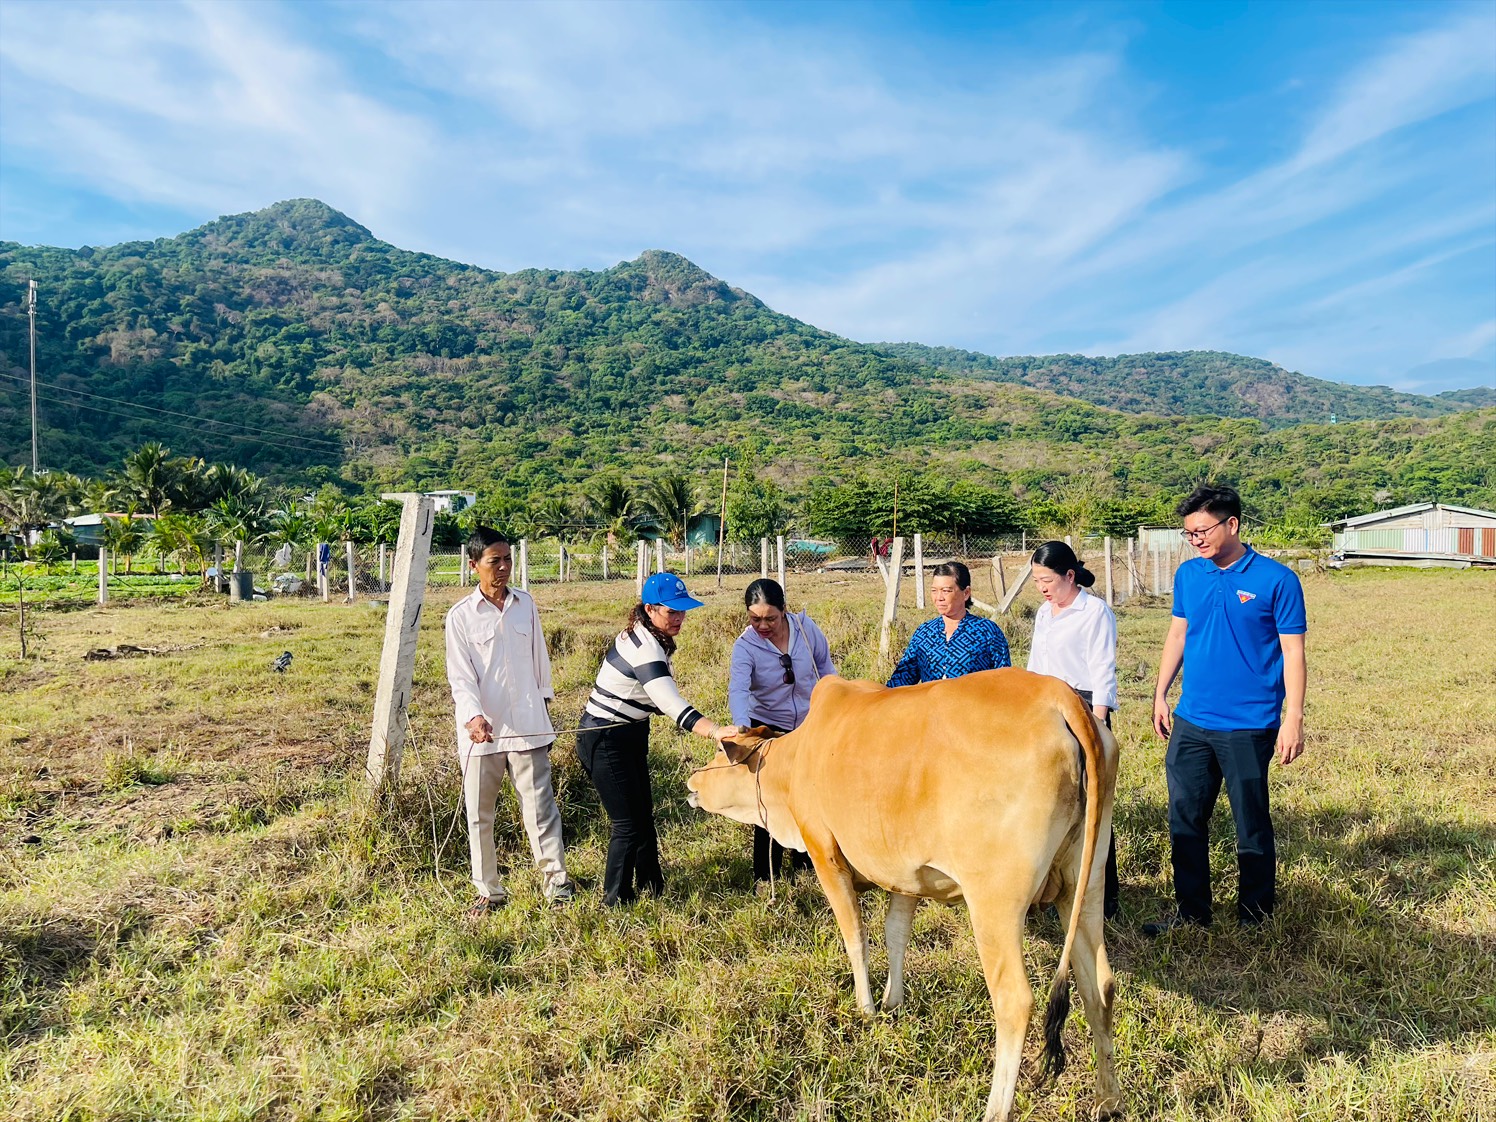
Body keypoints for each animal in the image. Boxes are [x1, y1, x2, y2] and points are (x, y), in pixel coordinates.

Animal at [685, 673, 1119, 1119]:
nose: (692, 781)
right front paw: (893, 1002)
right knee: (1099, 987)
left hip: (994, 905)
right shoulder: (907, 875)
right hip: (1083, 889)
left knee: (1015, 1001)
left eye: (719, 751)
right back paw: (1108, 1099)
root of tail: (1059, 695)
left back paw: (996, 1109)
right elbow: (896, 934)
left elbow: (856, 938)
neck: (796, 760)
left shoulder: (826, 857)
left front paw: (866, 1009)